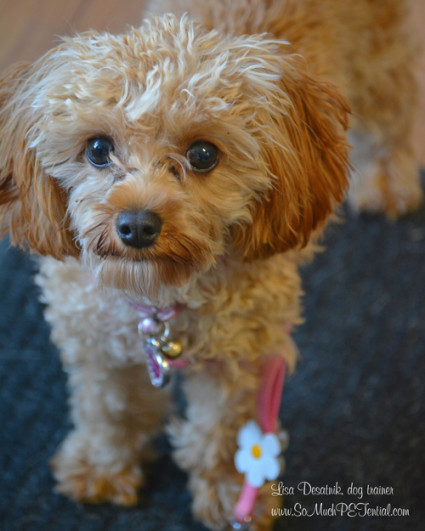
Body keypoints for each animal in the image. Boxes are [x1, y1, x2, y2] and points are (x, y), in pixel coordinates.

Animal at [0, 0, 420, 528]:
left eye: (202, 154)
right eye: (97, 148)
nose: (137, 225)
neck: (157, 297)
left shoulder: (242, 356)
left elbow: (223, 433)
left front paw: (231, 494)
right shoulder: (93, 343)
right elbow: (107, 408)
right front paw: (102, 465)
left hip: (379, 54)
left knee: (397, 98)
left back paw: (388, 178)